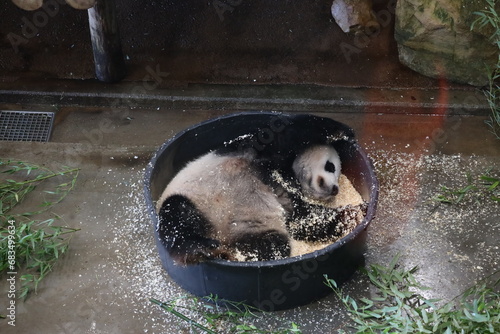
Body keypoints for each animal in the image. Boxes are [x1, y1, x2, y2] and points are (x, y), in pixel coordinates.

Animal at [157, 145, 344, 264]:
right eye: (331, 166)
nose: (335, 189)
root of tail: (221, 238)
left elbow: (302, 219)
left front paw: (346, 216)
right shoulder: (263, 162)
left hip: (252, 227)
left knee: (272, 245)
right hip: (196, 201)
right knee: (177, 215)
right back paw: (198, 248)